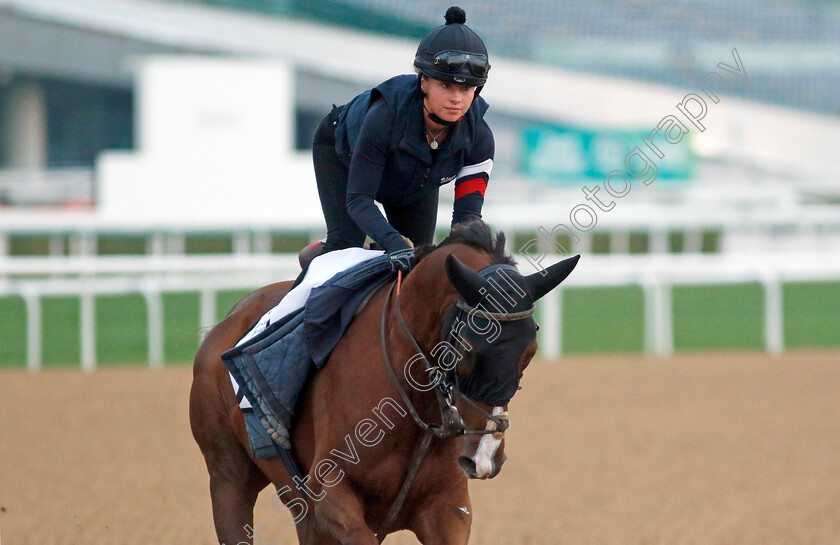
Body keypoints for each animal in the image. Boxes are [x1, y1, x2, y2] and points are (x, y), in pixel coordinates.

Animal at [189, 221, 576, 544]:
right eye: (468, 350)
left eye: (530, 351)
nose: (485, 457)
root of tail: (227, 322)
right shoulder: (328, 494)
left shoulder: (447, 508)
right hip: (228, 477)